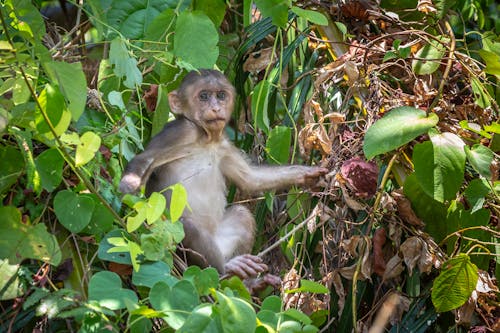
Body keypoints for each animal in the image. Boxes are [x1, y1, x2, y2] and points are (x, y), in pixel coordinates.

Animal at [118, 68, 326, 278]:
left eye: (221, 95)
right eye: (203, 96)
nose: (216, 108)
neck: (206, 139)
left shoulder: (224, 146)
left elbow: (251, 179)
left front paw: (309, 174)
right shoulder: (181, 131)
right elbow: (144, 159)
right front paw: (129, 185)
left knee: (242, 214)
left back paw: (250, 281)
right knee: (189, 227)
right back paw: (226, 269)